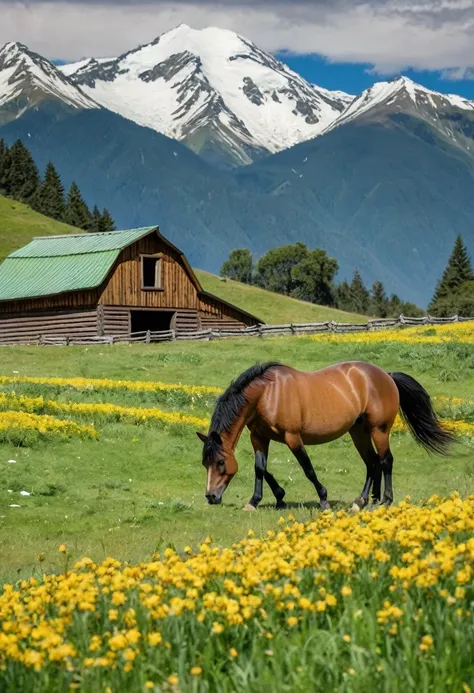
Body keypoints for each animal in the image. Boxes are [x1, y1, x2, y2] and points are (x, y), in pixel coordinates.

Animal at [197, 360, 456, 510]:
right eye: (204, 463)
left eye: (220, 462)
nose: (210, 497)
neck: (268, 393)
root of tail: (387, 375)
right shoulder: (259, 437)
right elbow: (260, 468)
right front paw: (260, 500)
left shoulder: (293, 438)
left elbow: (308, 469)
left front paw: (323, 500)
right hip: (359, 431)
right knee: (372, 462)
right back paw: (364, 500)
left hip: (379, 430)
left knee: (385, 461)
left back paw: (385, 500)